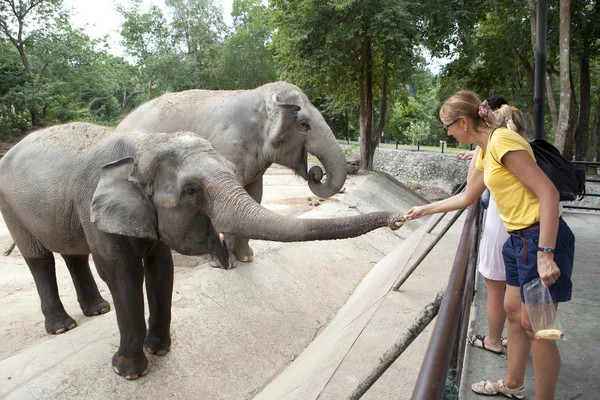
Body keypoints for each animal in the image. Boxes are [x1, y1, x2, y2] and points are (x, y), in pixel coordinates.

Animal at [0, 123, 406, 380]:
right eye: (192, 190)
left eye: (230, 169)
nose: (399, 219)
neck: (141, 146)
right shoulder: (93, 206)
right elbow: (123, 273)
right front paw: (127, 371)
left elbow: (161, 268)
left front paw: (160, 351)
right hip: (12, 208)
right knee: (39, 258)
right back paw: (63, 327)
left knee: (71, 252)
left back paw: (96, 311)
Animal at [115, 80, 346, 268]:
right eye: (304, 125)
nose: (316, 173)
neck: (257, 96)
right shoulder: (226, 146)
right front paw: (226, 264)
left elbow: (255, 195)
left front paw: (246, 258)